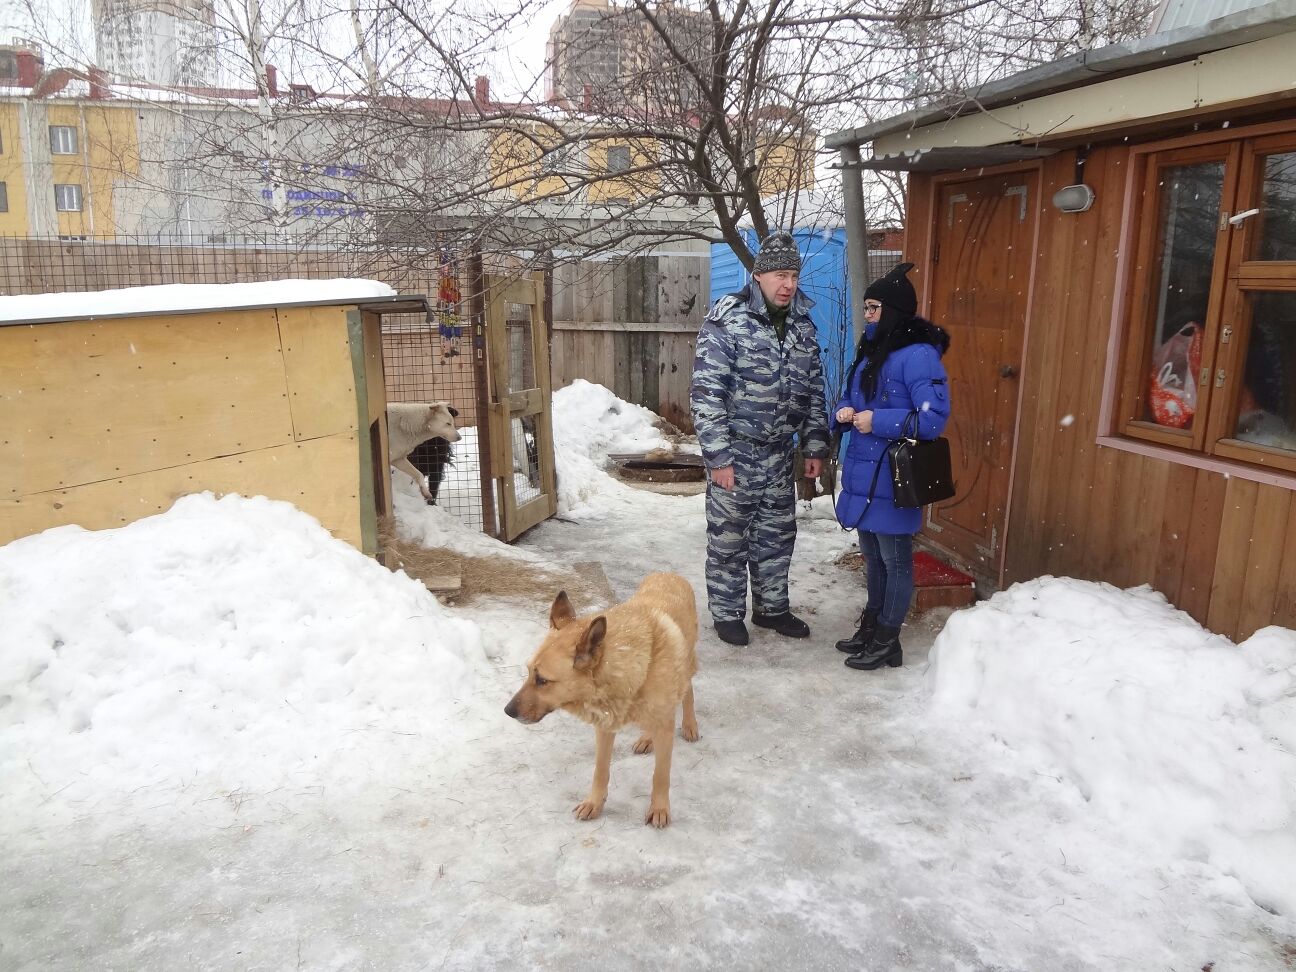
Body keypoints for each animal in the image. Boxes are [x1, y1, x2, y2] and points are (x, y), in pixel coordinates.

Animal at [502, 575, 699, 834]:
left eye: (543, 680)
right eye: (528, 673)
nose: (507, 711)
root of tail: (668, 574)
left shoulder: (663, 729)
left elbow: (660, 775)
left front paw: (659, 809)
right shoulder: (605, 726)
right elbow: (600, 770)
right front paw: (594, 803)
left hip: (686, 667)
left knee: (687, 692)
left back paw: (689, 725)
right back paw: (647, 738)